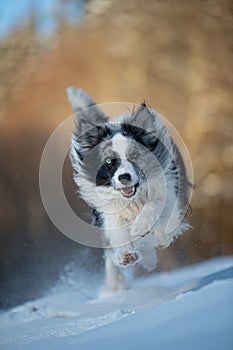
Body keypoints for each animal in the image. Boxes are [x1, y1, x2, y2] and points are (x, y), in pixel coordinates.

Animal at [67, 87, 191, 292]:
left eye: (134, 156)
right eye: (109, 161)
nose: (123, 177)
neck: (133, 199)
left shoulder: (167, 194)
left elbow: (155, 210)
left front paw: (140, 227)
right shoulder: (109, 211)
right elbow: (117, 232)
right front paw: (126, 255)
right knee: (111, 257)